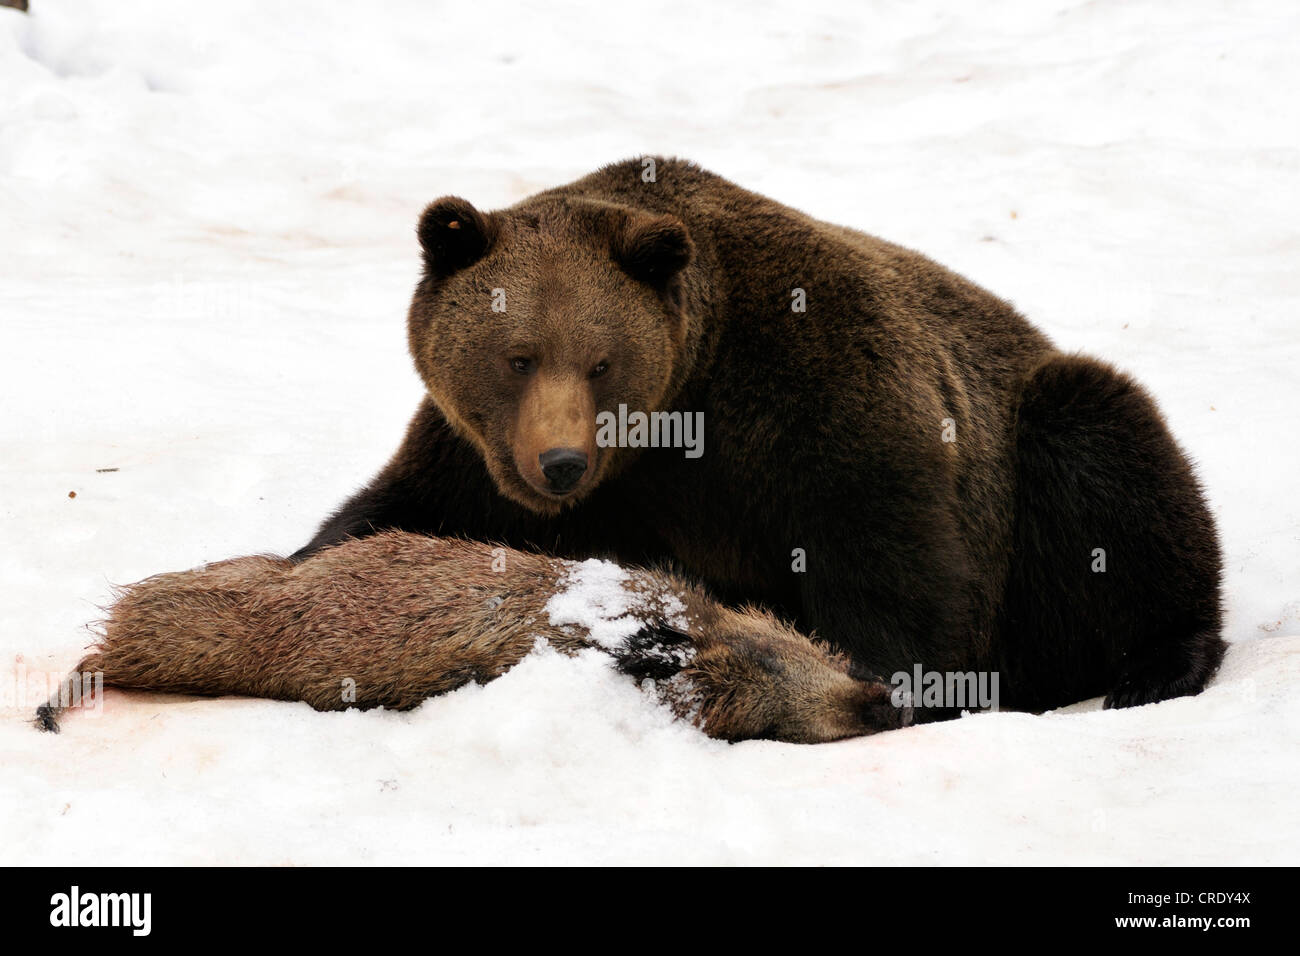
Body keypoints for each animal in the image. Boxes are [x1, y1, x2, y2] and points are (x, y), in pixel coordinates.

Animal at [289, 158, 1222, 717]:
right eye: (517, 357)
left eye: (600, 360)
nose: (560, 464)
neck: (676, 418)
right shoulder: (479, 456)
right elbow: (394, 508)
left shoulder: (817, 395)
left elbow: (890, 551)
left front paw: (885, 679)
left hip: (1029, 461)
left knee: (1107, 452)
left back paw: (1154, 668)